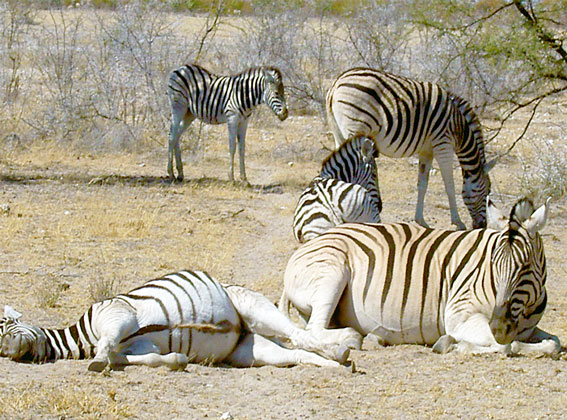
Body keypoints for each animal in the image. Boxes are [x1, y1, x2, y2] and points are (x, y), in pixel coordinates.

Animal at [0, 270, 346, 370]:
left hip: (253, 306)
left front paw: (97, 362)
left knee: (300, 335)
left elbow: (107, 344)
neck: (83, 336)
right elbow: (149, 358)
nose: (9, 350)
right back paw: (337, 365)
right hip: (251, 351)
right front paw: (177, 359)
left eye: (4, 326)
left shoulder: (116, 312)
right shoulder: (140, 349)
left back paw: (343, 349)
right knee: (295, 354)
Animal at [280, 197, 560, 358]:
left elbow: (554, 343)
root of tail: (312, 243)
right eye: (492, 263)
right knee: (314, 329)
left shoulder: (528, 328)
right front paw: (453, 345)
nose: (499, 327)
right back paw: (352, 338)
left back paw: (374, 338)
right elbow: (507, 346)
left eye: (525, 267)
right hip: (332, 273)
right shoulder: (459, 316)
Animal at [326, 67, 494, 230]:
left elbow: (422, 184)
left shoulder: (427, 150)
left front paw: (421, 220)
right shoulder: (443, 144)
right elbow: (449, 185)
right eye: (487, 192)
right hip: (355, 128)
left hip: (339, 133)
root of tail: (336, 83)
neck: (459, 127)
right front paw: (458, 222)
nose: (482, 226)